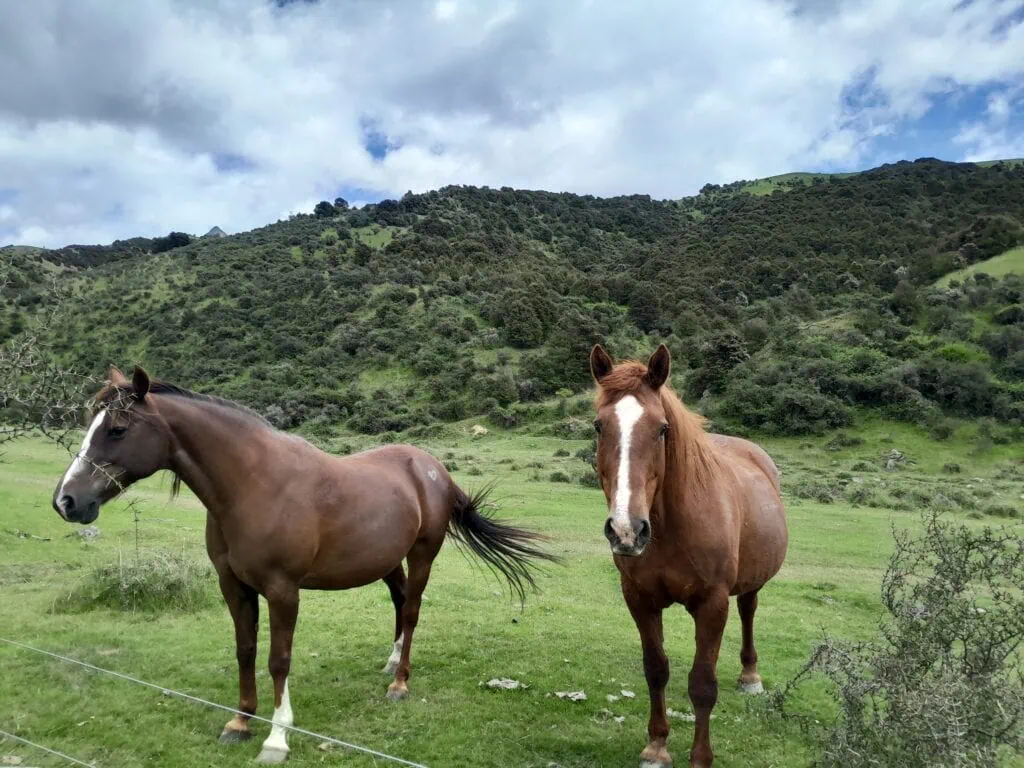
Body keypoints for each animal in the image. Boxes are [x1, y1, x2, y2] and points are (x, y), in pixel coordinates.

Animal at [51, 365, 558, 764]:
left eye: (117, 429)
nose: (67, 501)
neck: (253, 485)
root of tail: (433, 469)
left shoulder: (282, 590)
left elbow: (279, 660)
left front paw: (276, 738)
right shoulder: (233, 586)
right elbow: (245, 651)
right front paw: (240, 723)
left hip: (422, 555)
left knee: (412, 611)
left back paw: (400, 683)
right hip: (387, 561)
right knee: (399, 604)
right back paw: (391, 662)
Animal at [588, 344, 788, 768]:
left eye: (662, 428)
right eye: (599, 426)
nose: (627, 529)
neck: (672, 526)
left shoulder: (712, 603)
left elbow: (703, 684)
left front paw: (700, 756)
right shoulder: (639, 599)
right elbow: (656, 669)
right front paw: (657, 746)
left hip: (749, 584)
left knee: (749, 611)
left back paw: (750, 676)